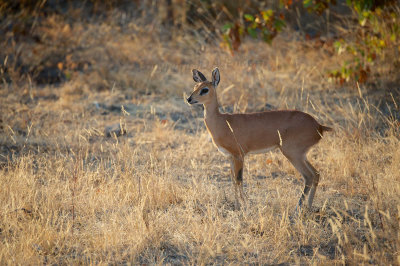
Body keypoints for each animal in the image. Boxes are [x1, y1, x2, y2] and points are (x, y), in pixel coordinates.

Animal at [186, 67, 332, 213]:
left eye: (205, 89)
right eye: (195, 86)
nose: (189, 99)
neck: (222, 122)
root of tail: (318, 126)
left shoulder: (239, 155)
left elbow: (239, 179)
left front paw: (244, 205)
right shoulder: (230, 157)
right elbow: (233, 180)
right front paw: (238, 205)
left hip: (293, 154)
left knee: (309, 176)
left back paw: (297, 209)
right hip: (302, 155)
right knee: (316, 174)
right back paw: (309, 206)